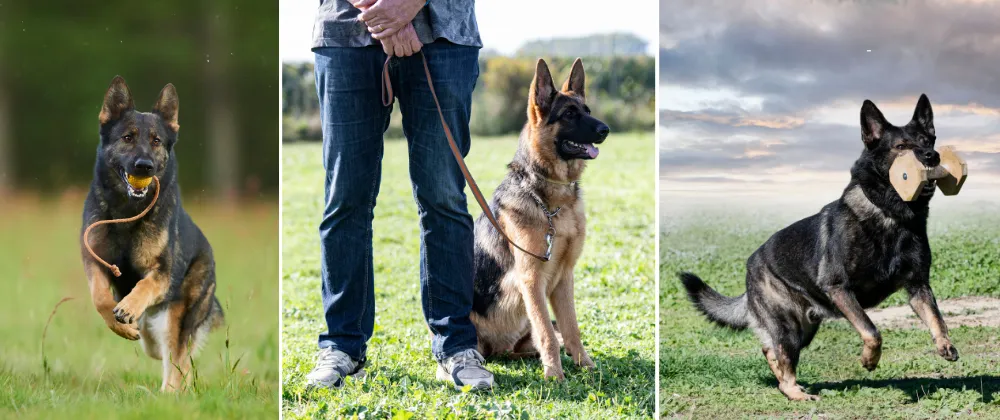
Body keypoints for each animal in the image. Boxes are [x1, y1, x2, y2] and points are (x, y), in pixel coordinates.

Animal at [81, 76, 223, 394]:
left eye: (156, 141)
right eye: (128, 138)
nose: (144, 166)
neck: (128, 212)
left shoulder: (163, 273)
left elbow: (144, 285)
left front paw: (128, 307)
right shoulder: (94, 261)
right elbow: (99, 297)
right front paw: (120, 323)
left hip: (176, 316)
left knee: (178, 359)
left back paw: (170, 394)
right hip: (153, 332)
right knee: (164, 352)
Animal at [468, 59, 608, 380]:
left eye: (587, 110)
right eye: (569, 114)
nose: (606, 129)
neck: (552, 201)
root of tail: (498, 349)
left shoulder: (564, 278)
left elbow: (571, 329)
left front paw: (585, 366)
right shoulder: (532, 281)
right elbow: (545, 329)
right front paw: (555, 375)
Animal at [680, 94, 952, 400]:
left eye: (927, 141)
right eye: (901, 147)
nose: (931, 156)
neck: (889, 214)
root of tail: (752, 265)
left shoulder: (918, 287)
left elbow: (937, 318)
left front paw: (944, 344)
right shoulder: (840, 288)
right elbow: (872, 331)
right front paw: (869, 359)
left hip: (805, 329)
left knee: (770, 351)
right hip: (789, 327)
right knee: (782, 357)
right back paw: (797, 393)